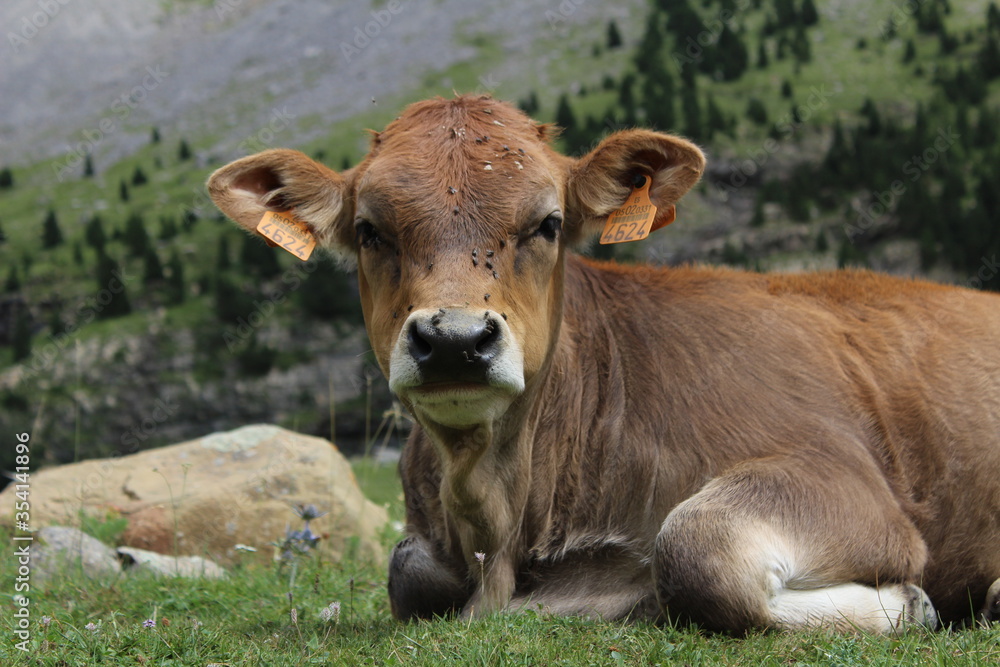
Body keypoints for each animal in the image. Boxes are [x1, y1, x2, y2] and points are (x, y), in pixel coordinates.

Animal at [205, 94, 1000, 632]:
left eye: (548, 223)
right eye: (371, 230)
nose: (456, 339)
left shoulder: (847, 484)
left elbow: (697, 550)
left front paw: (913, 601)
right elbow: (407, 570)